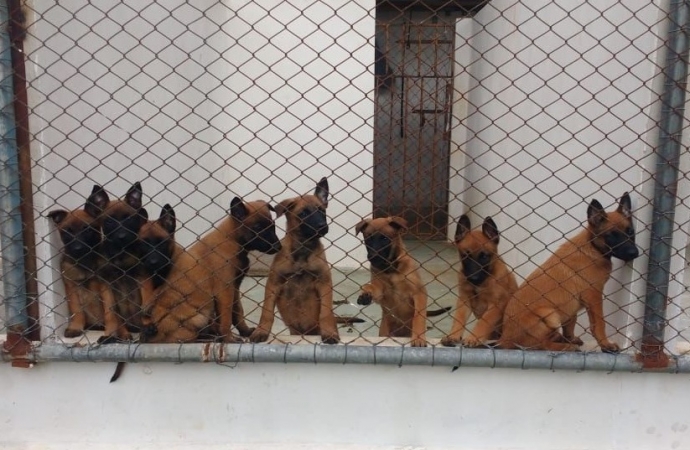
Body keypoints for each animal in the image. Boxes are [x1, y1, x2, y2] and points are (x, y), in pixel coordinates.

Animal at [250, 178, 342, 342]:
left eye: (321, 211)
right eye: (303, 213)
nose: (322, 226)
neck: (303, 249)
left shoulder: (324, 283)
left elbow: (326, 312)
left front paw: (330, 333)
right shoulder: (273, 283)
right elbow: (266, 312)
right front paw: (261, 331)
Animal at [354, 216, 424, 346]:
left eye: (385, 239)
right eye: (368, 238)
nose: (373, 257)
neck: (391, 269)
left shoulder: (419, 293)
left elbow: (418, 316)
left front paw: (419, 338)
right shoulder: (381, 292)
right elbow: (371, 287)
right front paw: (365, 293)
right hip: (384, 332)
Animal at [440, 216, 516, 346]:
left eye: (484, 256)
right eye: (466, 256)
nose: (473, 278)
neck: (482, 282)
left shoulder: (497, 304)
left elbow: (484, 322)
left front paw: (473, 338)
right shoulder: (464, 300)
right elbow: (459, 318)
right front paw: (453, 335)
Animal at [494, 192, 640, 352]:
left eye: (630, 231)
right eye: (611, 235)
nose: (634, 253)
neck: (592, 247)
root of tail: (504, 339)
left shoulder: (573, 306)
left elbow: (570, 324)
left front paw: (571, 338)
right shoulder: (593, 294)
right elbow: (599, 323)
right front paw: (605, 344)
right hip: (549, 314)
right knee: (540, 345)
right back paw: (565, 346)